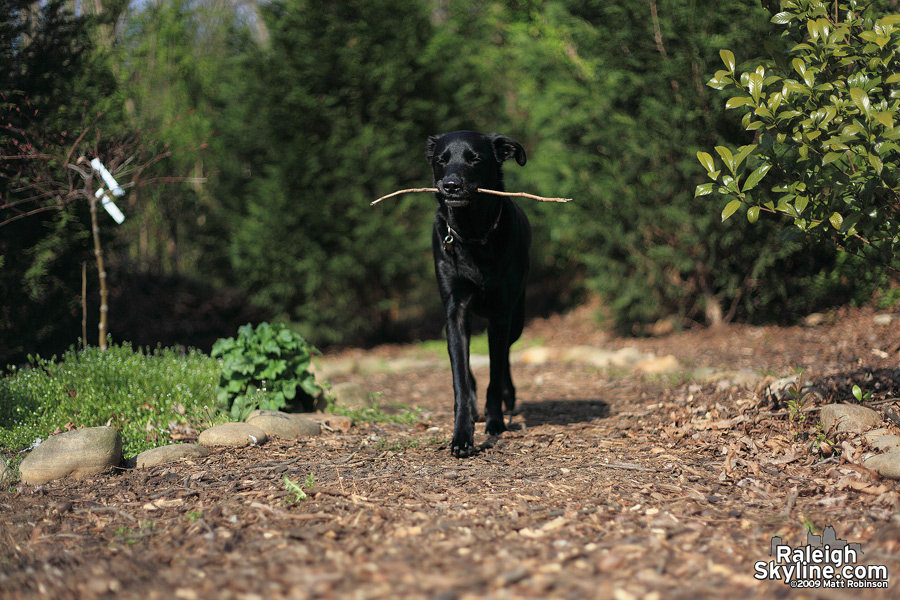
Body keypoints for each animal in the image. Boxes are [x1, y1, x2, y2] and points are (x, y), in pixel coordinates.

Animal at [428, 131, 532, 458]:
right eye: (441, 160)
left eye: (474, 159)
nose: (450, 185)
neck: (472, 234)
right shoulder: (455, 311)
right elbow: (460, 379)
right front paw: (462, 434)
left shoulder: (501, 314)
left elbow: (495, 374)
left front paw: (495, 422)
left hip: (517, 318)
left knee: (506, 356)